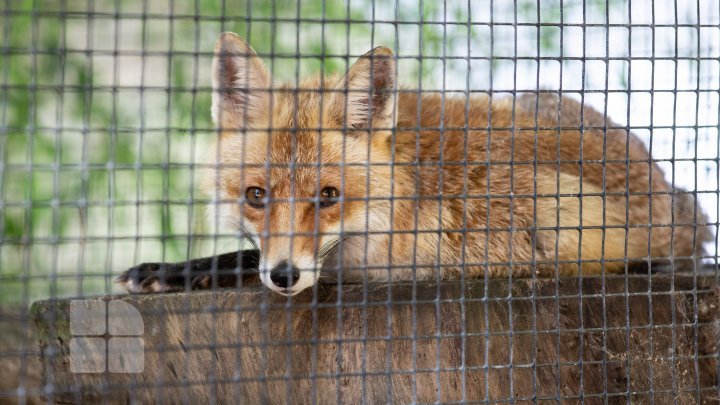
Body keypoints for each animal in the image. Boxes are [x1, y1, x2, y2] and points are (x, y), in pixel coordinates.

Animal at [118, 31, 708, 296]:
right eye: (256, 196)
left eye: (328, 197)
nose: (285, 276)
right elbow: (244, 253)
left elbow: (241, 260)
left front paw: (177, 271)